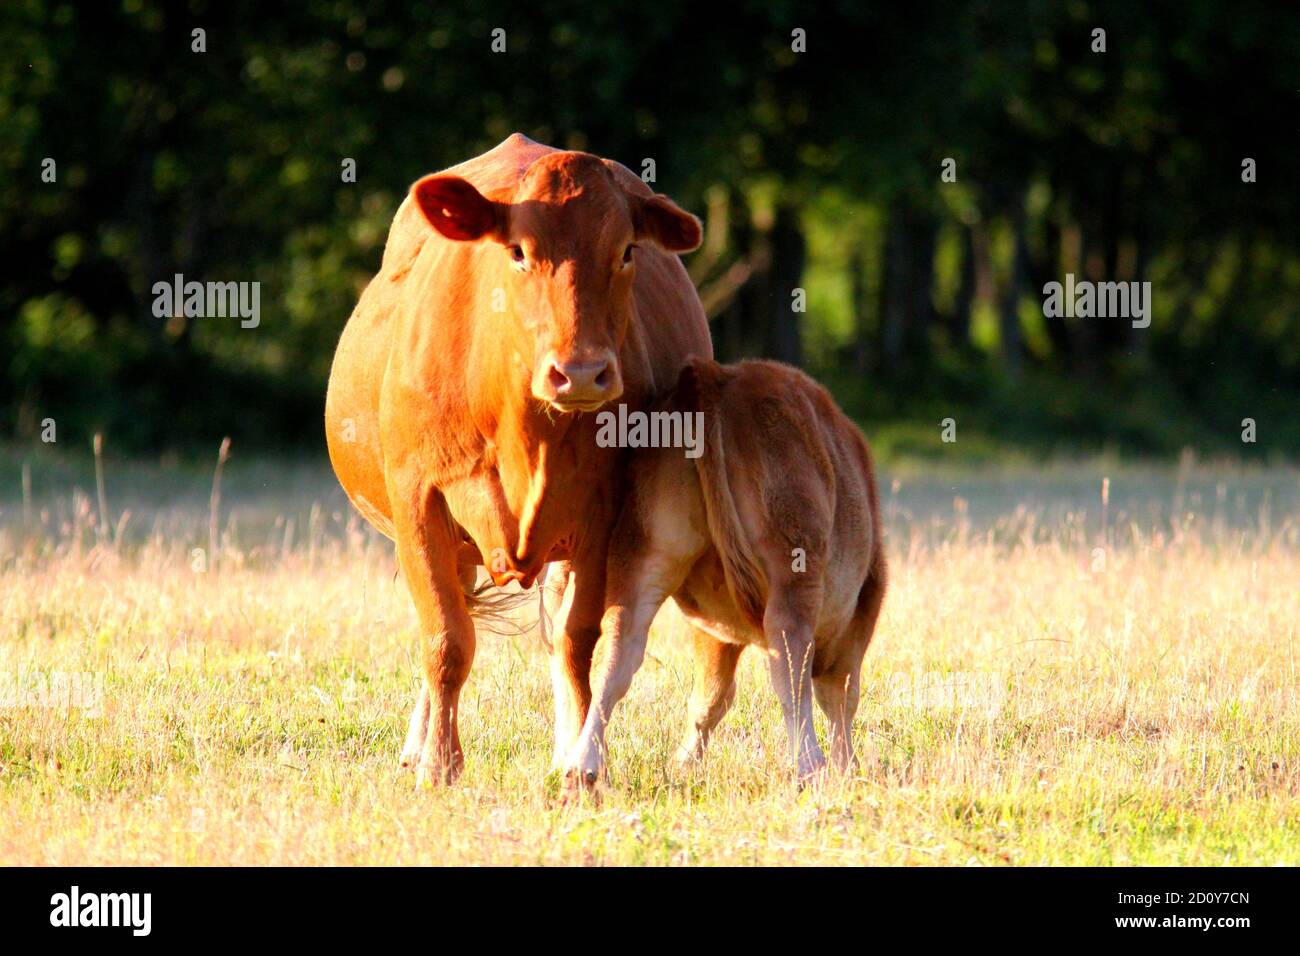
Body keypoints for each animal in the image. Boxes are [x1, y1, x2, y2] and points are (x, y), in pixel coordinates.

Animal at [324, 134, 711, 786]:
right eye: (518, 251)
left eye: (626, 250)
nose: (580, 372)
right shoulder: (418, 500)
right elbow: (446, 639)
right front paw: (439, 764)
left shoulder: (601, 518)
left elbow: (577, 639)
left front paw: (581, 764)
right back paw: (418, 744)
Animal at [560, 358, 887, 790]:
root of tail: (718, 376)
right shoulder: (862, 611)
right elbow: (841, 697)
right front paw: (846, 768)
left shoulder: (715, 631)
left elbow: (712, 696)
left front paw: (683, 765)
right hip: (793, 571)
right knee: (791, 668)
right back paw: (808, 767)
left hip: (642, 551)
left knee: (614, 653)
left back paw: (582, 766)